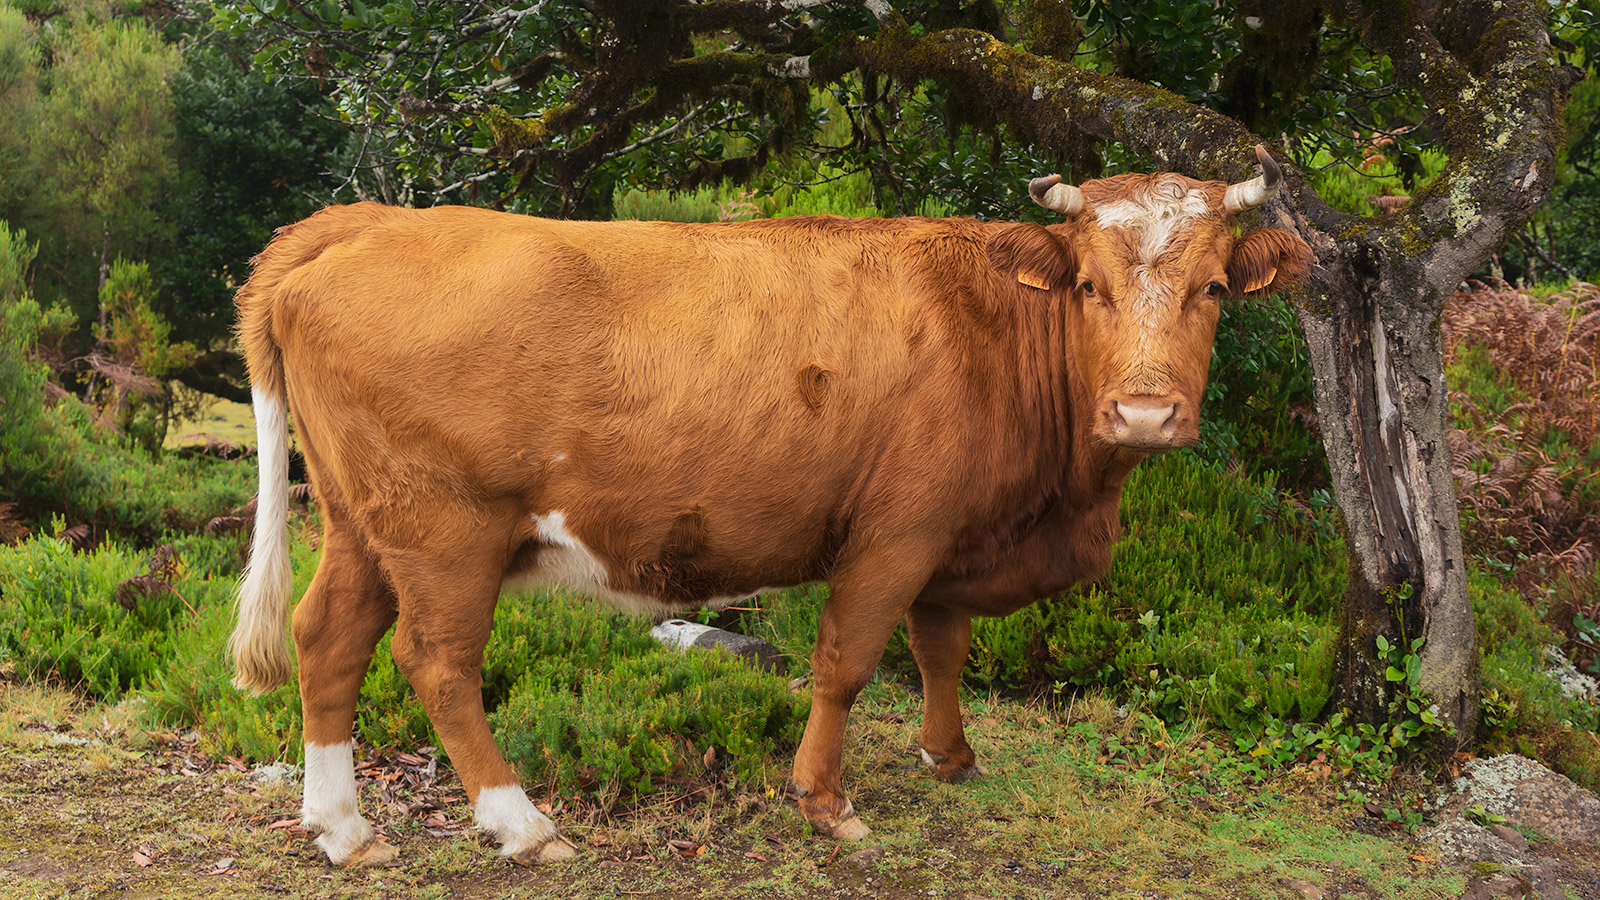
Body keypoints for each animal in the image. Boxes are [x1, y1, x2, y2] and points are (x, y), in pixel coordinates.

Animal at [232, 145, 1312, 864]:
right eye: (1088, 284)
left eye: (1215, 288)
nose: (1144, 411)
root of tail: (372, 218)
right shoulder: (897, 533)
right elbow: (846, 662)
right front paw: (825, 800)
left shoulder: (951, 540)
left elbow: (941, 648)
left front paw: (949, 755)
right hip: (444, 528)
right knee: (438, 662)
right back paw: (520, 822)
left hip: (363, 523)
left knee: (328, 638)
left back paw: (343, 829)